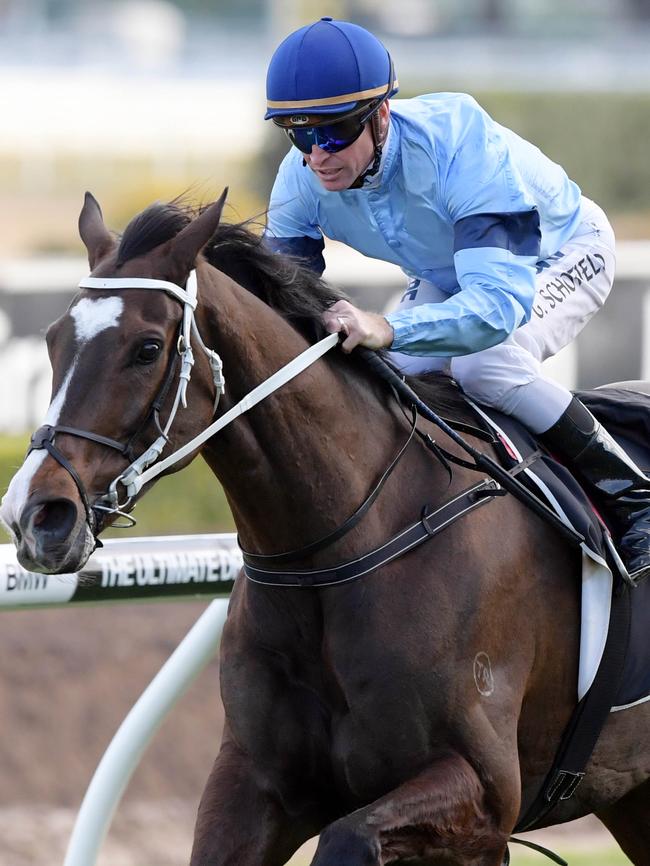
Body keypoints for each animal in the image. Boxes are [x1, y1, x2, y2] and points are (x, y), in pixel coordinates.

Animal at [1, 191, 648, 864]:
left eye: (147, 348)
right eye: (53, 340)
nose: (36, 515)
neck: (339, 545)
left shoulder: (485, 792)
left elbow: (348, 835)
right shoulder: (254, 782)